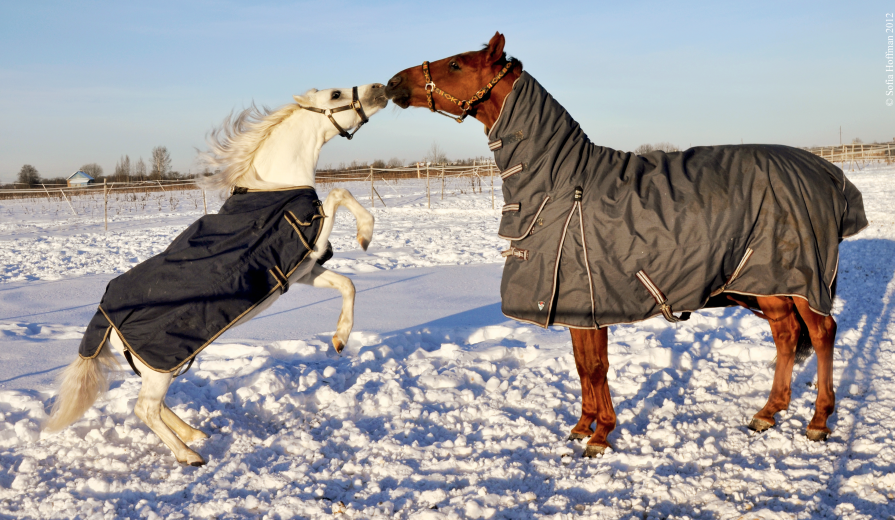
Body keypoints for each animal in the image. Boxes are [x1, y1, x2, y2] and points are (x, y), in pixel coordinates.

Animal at [45, 82, 388, 468]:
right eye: (335, 94)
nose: (381, 88)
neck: (272, 188)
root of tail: (104, 318)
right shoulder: (309, 243)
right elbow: (339, 194)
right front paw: (365, 234)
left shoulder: (303, 269)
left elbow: (348, 284)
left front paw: (340, 339)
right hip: (161, 366)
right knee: (145, 408)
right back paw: (189, 454)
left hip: (159, 368)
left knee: (154, 406)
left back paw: (194, 433)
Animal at [384, 31, 860, 456]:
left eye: (455, 64)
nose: (392, 83)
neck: (562, 184)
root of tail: (826, 172)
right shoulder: (575, 307)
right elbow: (582, 367)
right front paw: (581, 427)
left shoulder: (590, 304)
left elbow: (596, 368)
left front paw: (600, 436)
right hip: (768, 281)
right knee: (786, 336)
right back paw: (767, 412)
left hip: (802, 280)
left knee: (821, 334)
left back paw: (819, 421)